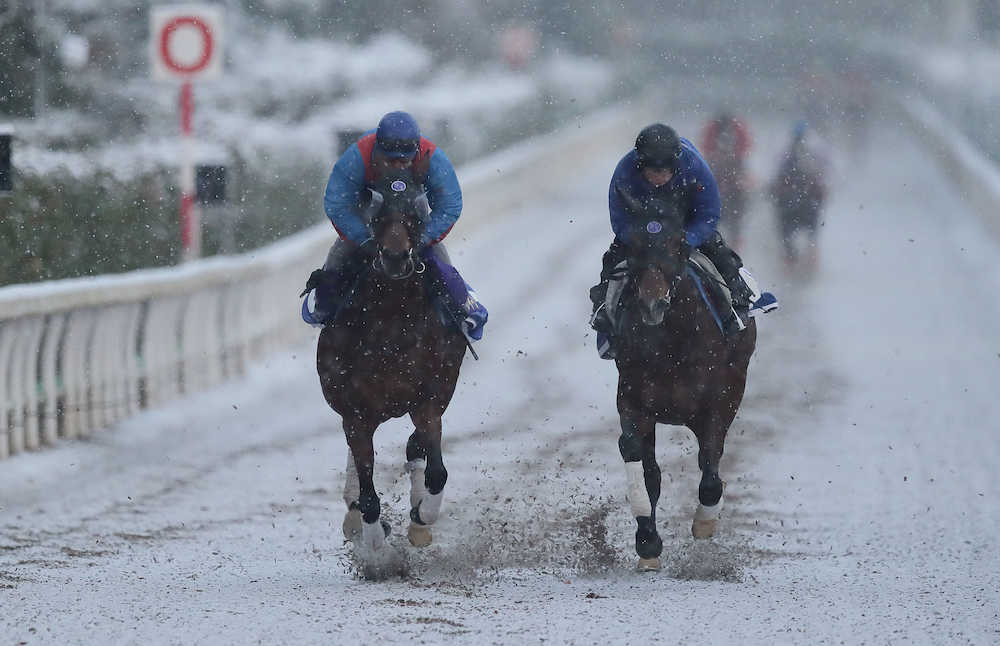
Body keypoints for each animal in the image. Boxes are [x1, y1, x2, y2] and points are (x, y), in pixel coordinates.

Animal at [316, 172, 468, 560]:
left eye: (415, 216)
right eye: (377, 218)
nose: (396, 257)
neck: (391, 321)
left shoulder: (428, 401)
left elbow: (436, 472)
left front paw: (421, 517)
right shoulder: (356, 413)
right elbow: (368, 490)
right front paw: (373, 539)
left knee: (416, 449)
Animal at [608, 186, 756, 572]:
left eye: (677, 243)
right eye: (634, 244)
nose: (652, 305)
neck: (671, 341)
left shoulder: (718, 401)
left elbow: (710, 469)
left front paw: (704, 523)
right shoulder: (633, 399)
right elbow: (641, 464)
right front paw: (647, 542)